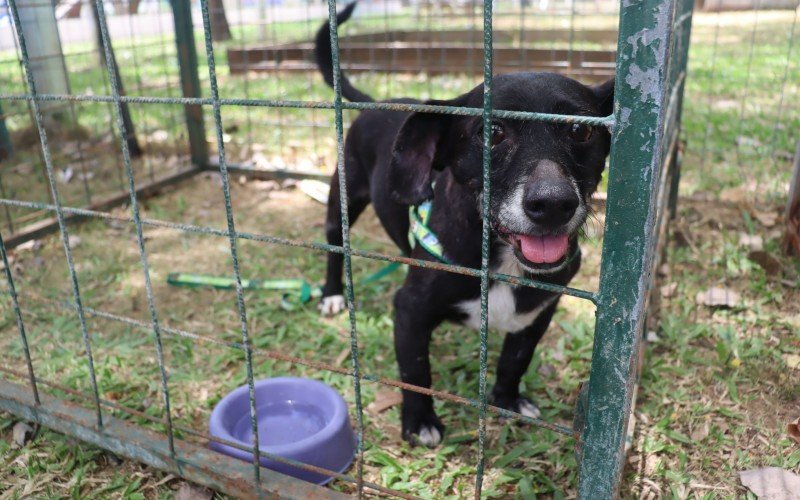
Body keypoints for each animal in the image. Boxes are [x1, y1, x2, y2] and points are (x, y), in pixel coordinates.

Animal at [312, 2, 612, 450]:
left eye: (581, 130)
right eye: (492, 132)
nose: (553, 204)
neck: (500, 260)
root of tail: (379, 102)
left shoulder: (538, 313)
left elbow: (514, 360)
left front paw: (507, 399)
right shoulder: (409, 311)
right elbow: (416, 372)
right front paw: (420, 421)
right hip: (342, 203)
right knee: (334, 246)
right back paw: (332, 294)